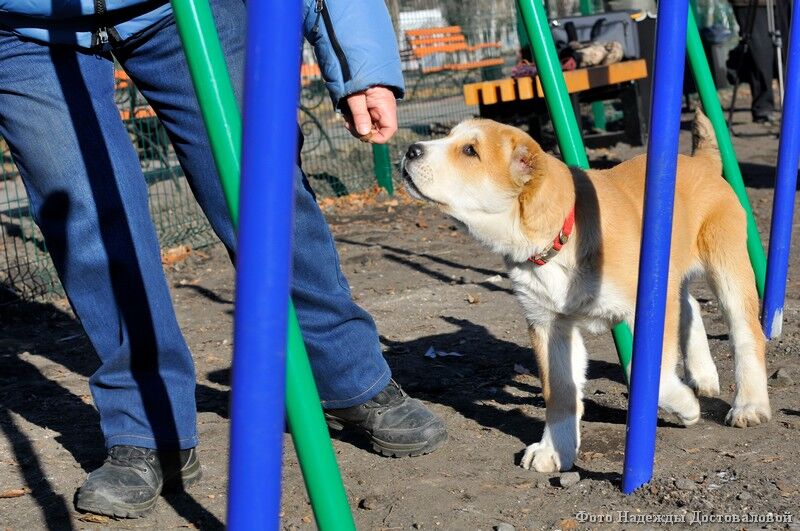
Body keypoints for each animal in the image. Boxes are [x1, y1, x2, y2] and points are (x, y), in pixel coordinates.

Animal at [400, 111, 770, 473]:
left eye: (470, 151)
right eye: (450, 137)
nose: (410, 150)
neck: (561, 238)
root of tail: (701, 163)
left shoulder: (648, 307)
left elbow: (654, 375)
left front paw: (686, 407)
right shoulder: (549, 325)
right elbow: (560, 392)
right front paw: (554, 449)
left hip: (727, 267)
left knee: (746, 334)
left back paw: (749, 405)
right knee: (690, 305)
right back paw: (704, 374)